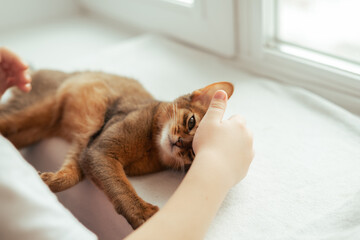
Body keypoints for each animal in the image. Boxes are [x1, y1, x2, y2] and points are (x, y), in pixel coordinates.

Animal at [0, 69, 233, 229]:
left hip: (33, 129)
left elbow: (72, 175)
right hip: (33, 110)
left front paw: (48, 180)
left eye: (193, 153)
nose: (180, 143)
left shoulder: (87, 146)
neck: (151, 149)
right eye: (191, 122)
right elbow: (121, 187)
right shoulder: (101, 151)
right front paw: (144, 215)